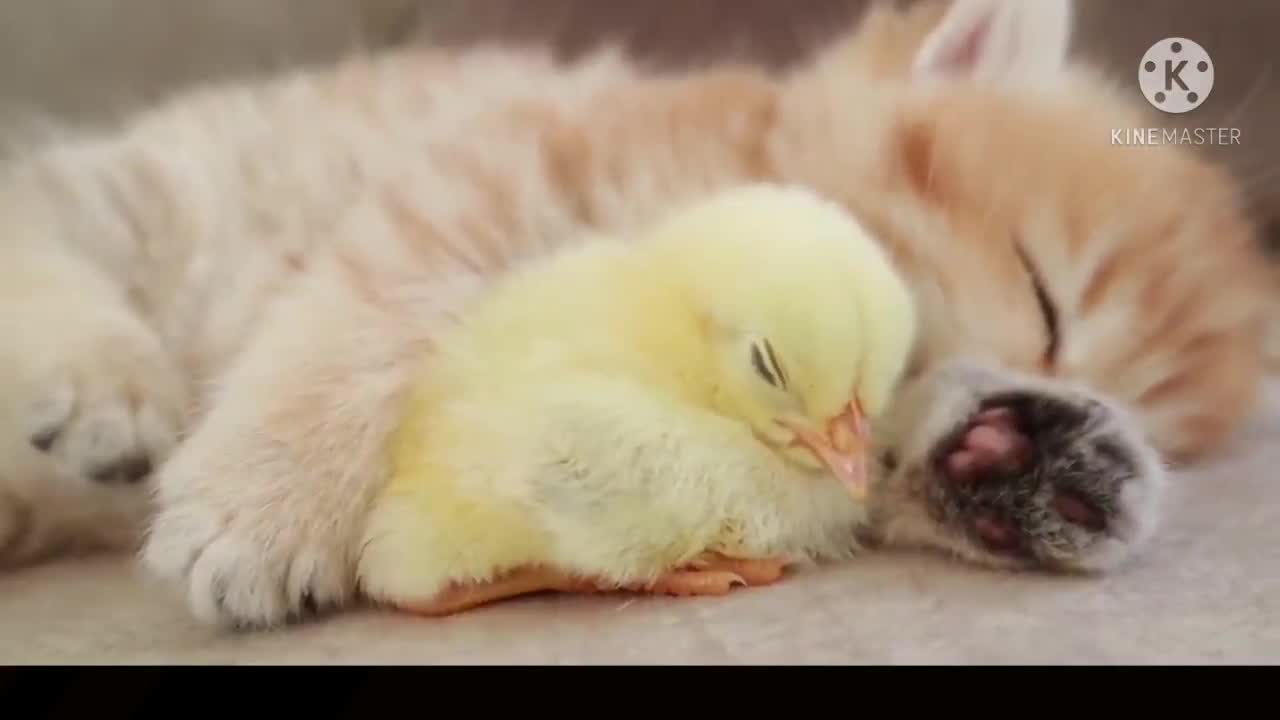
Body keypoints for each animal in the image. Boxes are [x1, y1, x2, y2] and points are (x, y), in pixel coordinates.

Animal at [0, 0, 1269, 627]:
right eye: (1042, 294)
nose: (1036, 396)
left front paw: (1037, 459)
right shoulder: (493, 171)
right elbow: (372, 307)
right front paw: (265, 502)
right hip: (175, 188)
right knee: (41, 214)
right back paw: (105, 385)